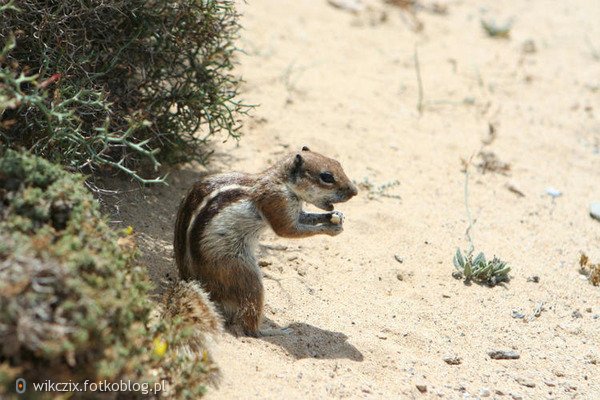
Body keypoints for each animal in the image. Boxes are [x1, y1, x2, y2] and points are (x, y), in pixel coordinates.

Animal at [176, 148, 358, 336]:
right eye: (326, 177)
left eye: (338, 163)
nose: (355, 191)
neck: (282, 181)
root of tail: (197, 282)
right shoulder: (276, 201)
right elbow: (287, 230)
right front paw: (331, 229)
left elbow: (305, 217)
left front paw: (334, 216)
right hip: (241, 274)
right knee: (250, 325)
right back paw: (275, 331)